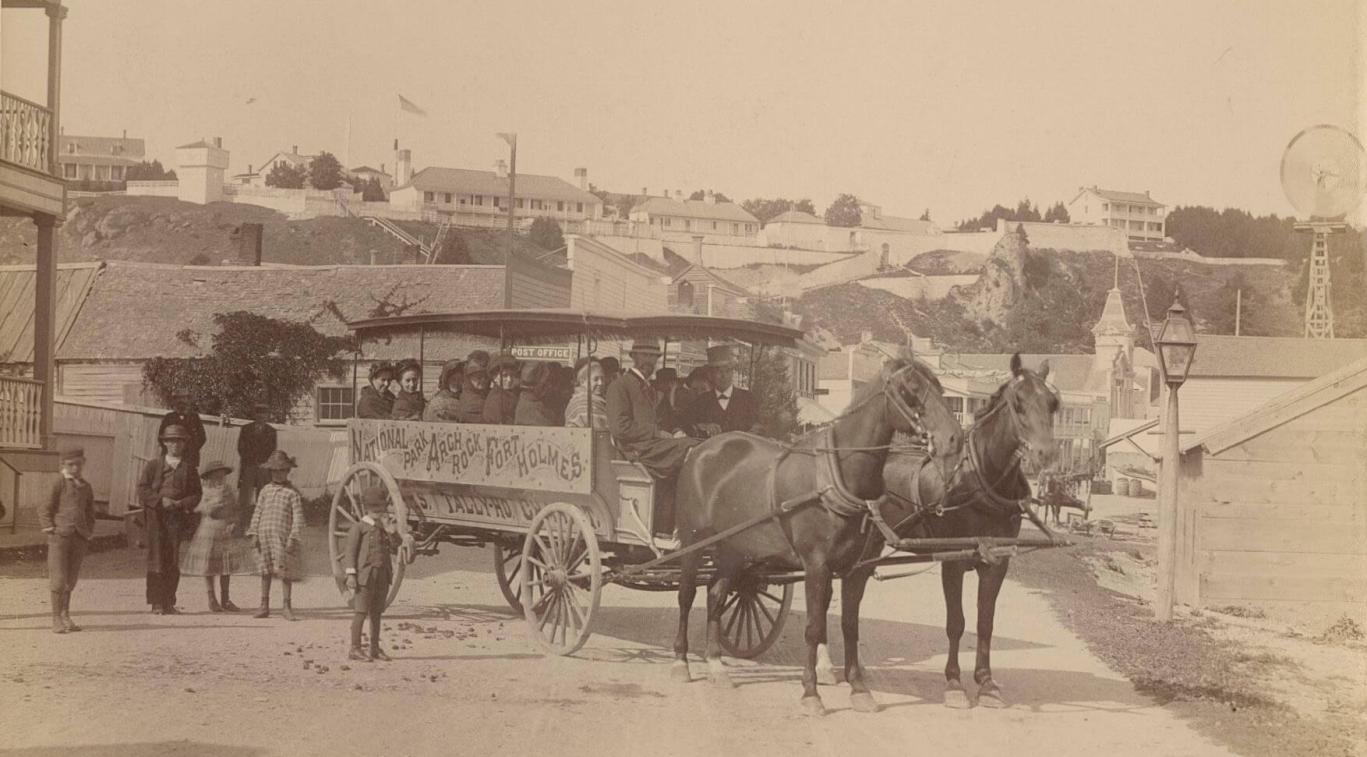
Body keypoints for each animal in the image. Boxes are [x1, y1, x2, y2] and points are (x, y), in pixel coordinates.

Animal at [672, 355, 962, 710]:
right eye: (910, 389)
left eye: (939, 386)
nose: (954, 438)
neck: (838, 479)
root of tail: (702, 449)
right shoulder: (816, 565)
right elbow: (813, 626)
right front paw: (811, 692)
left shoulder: (857, 569)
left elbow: (849, 626)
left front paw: (858, 689)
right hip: (694, 541)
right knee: (687, 595)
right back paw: (681, 662)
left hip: (734, 548)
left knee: (716, 594)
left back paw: (716, 664)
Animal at [880, 352, 1060, 705]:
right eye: (1018, 402)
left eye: (1052, 403)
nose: (1045, 453)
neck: (980, 481)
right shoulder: (952, 561)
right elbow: (956, 622)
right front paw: (953, 682)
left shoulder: (997, 562)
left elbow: (985, 621)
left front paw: (986, 682)